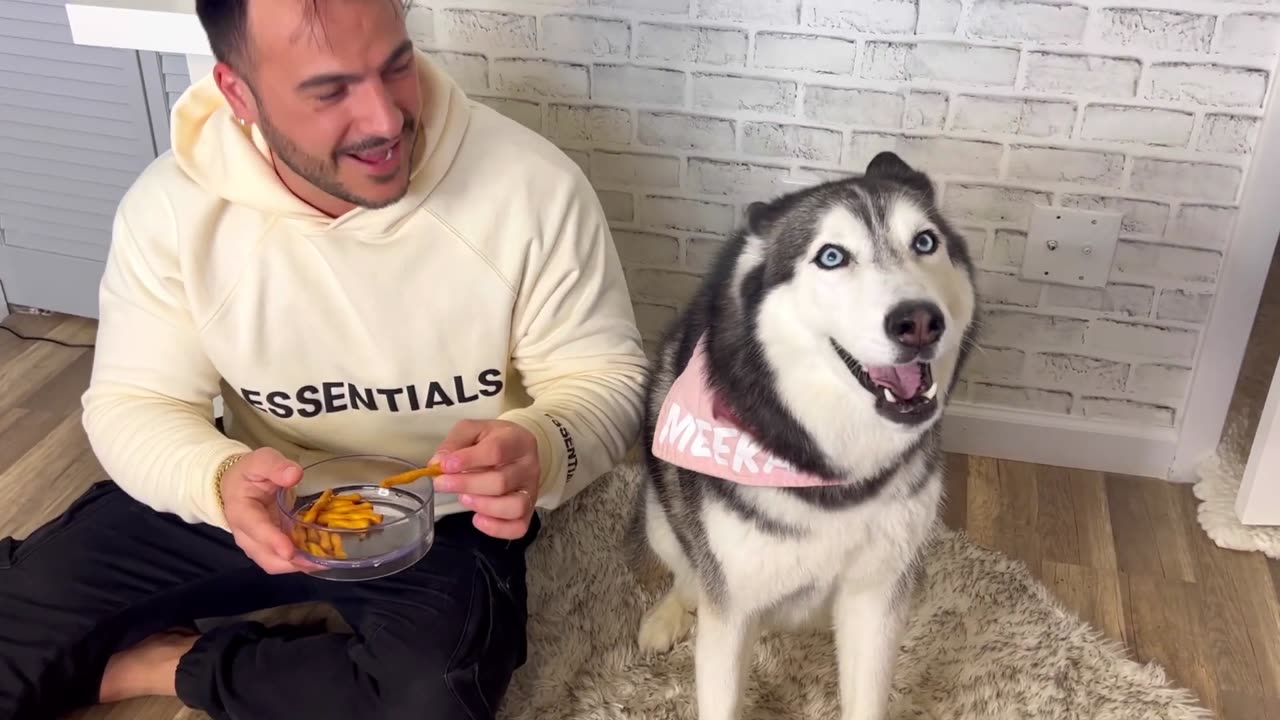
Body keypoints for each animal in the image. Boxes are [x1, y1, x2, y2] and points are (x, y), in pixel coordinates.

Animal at [629, 151, 977, 717]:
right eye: (831, 256)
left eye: (925, 242)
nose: (921, 322)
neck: (831, 469)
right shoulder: (732, 609)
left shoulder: (876, 597)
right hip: (661, 515)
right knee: (686, 571)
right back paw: (669, 614)